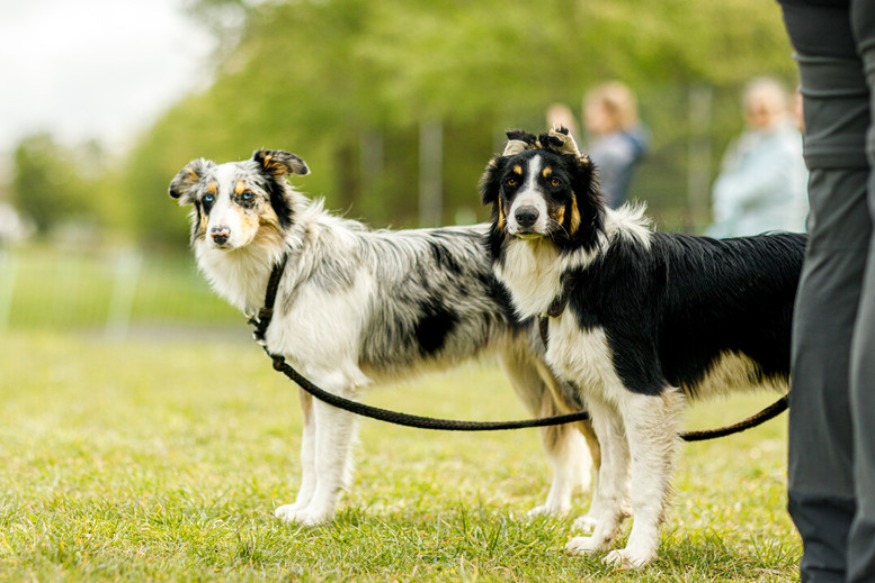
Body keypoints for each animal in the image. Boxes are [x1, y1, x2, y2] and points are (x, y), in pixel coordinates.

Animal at [168, 148, 600, 528]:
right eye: (208, 199)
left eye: (247, 197)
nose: (219, 235)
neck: (290, 262)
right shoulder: (309, 382)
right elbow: (309, 454)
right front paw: (301, 508)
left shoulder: (334, 383)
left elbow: (327, 458)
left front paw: (317, 517)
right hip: (534, 381)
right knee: (563, 445)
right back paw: (553, 511)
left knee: (603, 450)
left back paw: (595, 524)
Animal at [482, 129, 804, 572]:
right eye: (510, 184)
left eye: (555, 183)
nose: (525, 217)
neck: (585, 269)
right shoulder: (603, 400)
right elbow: (611, 480)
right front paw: (598, 541)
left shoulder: (644, 395)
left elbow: (646, 485)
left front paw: (637, 553)